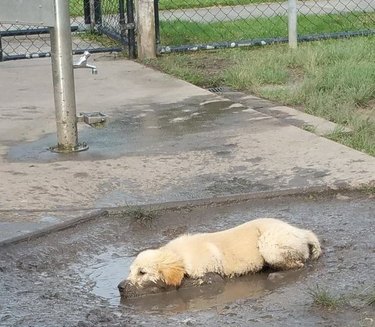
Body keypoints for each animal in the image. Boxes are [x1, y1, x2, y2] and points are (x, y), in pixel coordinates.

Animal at [119, 219, 322, 298]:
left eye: (142, 272)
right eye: (130, 271)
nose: (119, 287)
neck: (179, 255)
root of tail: (302, 232)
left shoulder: (211, 276)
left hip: (269, 244)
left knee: (300, 264)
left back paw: (276, 275)